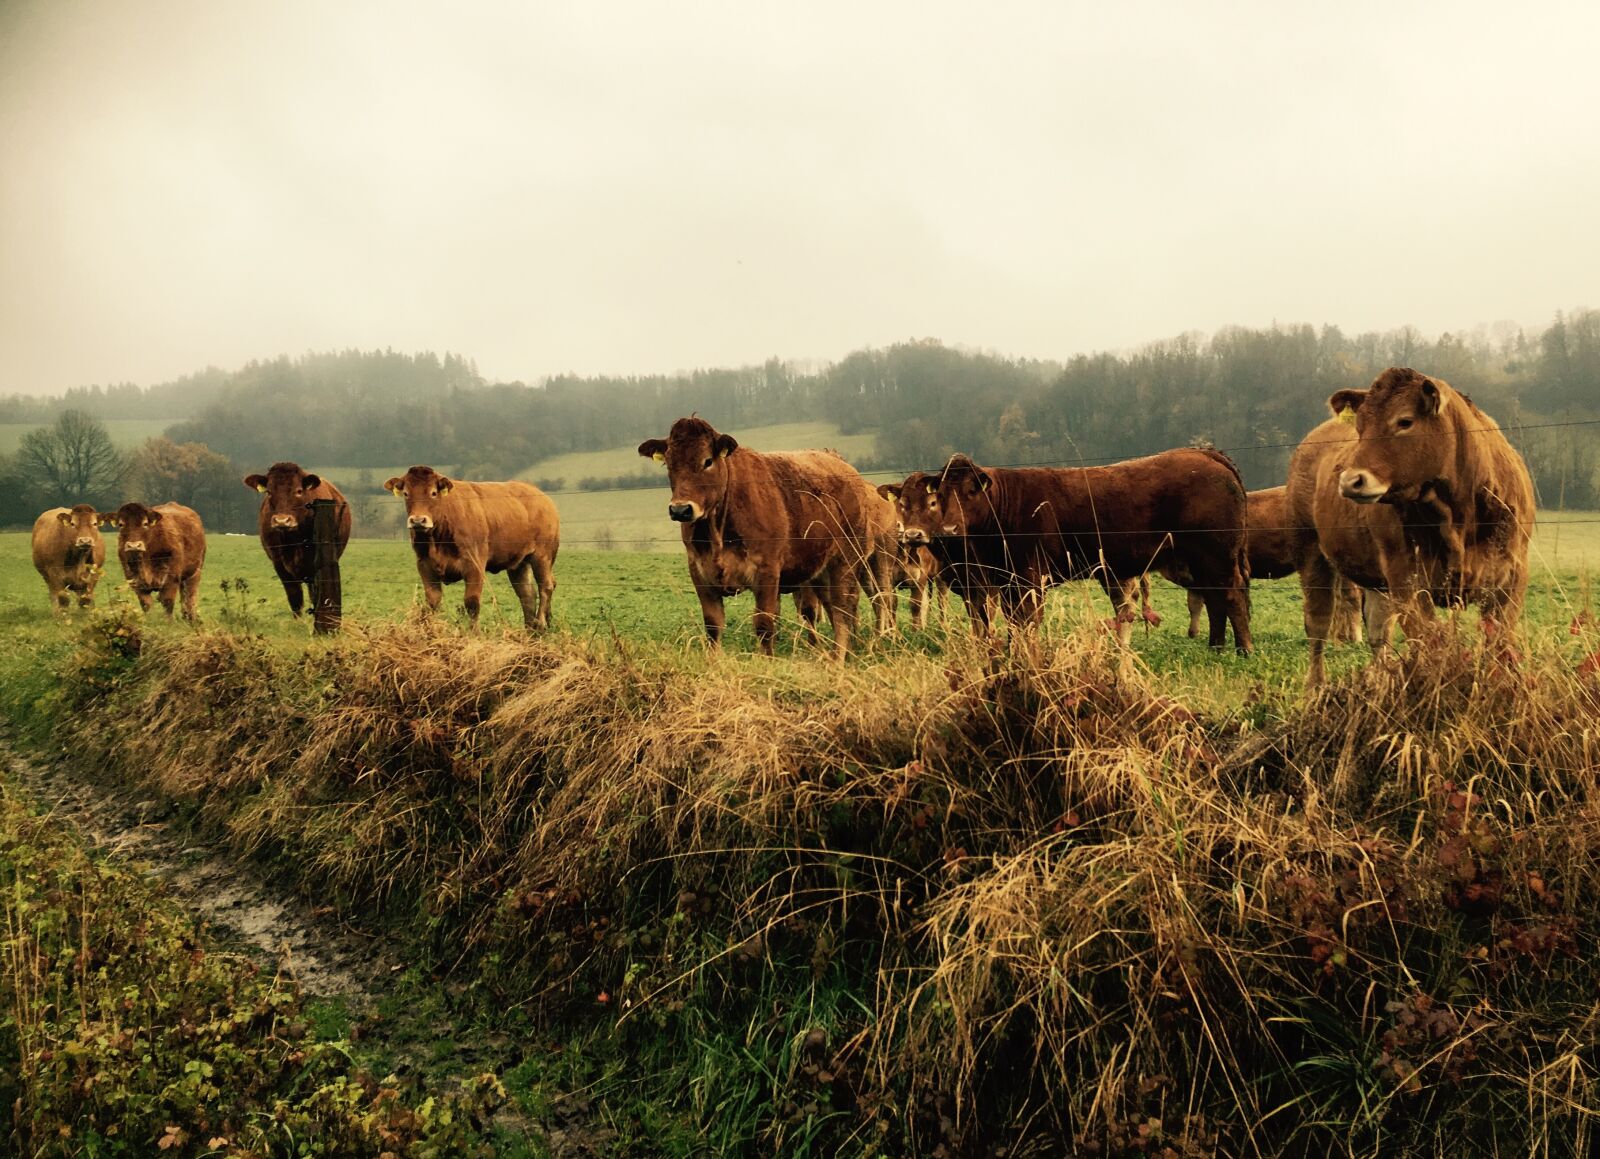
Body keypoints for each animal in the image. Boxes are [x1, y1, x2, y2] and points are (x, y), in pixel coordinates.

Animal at [242, 462, 353, 618]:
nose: (282, 521)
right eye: (269, 492)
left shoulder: (315, 565)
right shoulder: (280, 565)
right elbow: (295, 598)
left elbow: (315, 596)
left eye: (299, 491)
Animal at [383, 466, 559, 630]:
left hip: (542, 555)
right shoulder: (425, 565)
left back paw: (541, 624)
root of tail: (539, 494)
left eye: (433, 493)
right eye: (406, 493)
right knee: (527, 595)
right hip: (519, 563)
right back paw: (529, 630)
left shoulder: (474, 565)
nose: (418, 521)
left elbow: (472, 602)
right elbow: (433, 602)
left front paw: (475, 633)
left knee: (546, 586)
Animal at [637, 416, 897, 658]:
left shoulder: (767, 571)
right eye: (669, 463)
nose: (680, 510)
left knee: (848, 608)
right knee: (833, 608)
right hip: (820, 570)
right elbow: (713, 626)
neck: (718, 530)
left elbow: (764, 625)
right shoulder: (700, 573)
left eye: (707, 461)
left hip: (848, 561)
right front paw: (714, 662)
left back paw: (839, 657)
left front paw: (767, 661)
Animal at [904, 450, 1253, 653]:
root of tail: (1204, 453)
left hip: (1217, 555)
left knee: (1231, 596)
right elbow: (1012, 622)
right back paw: (1216, 646)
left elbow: (1027, 621)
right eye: (941, 495)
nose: (950, 530)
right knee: (1215, 600)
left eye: (972, 491)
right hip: (1201, 561)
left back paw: (1243, 649)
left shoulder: (1029, 577)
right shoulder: (1006, 582)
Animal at [1285, 367, 1534, 687]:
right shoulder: (1406, 578)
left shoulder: (1511, 578)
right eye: (1360, 427)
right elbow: (1430, 645)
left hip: (1375, 580)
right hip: (1310, 553)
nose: (1350, 481)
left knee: (1378, 631)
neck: (1458, 516)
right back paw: (1316, 688)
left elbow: (1499, 645)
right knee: (1318, 624)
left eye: (1405, 421)